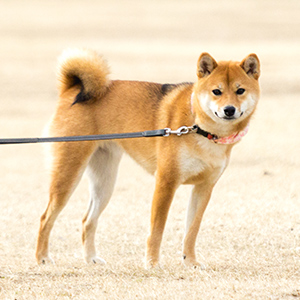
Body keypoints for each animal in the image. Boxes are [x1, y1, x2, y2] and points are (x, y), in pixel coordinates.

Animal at [35, 48, 260, 268]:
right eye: (217, 91)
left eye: (240, 91)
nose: (229, 110)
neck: (199, 128)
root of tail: (72, 89)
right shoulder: (166, 182)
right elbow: (157, 229)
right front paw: (152, 263)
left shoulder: (204, 188)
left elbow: (192, 231)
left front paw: (190, 261)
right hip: (69, 173)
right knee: (46, 217)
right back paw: (43, 258)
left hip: (104, 182)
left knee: (87, 220)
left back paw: (91, 259)